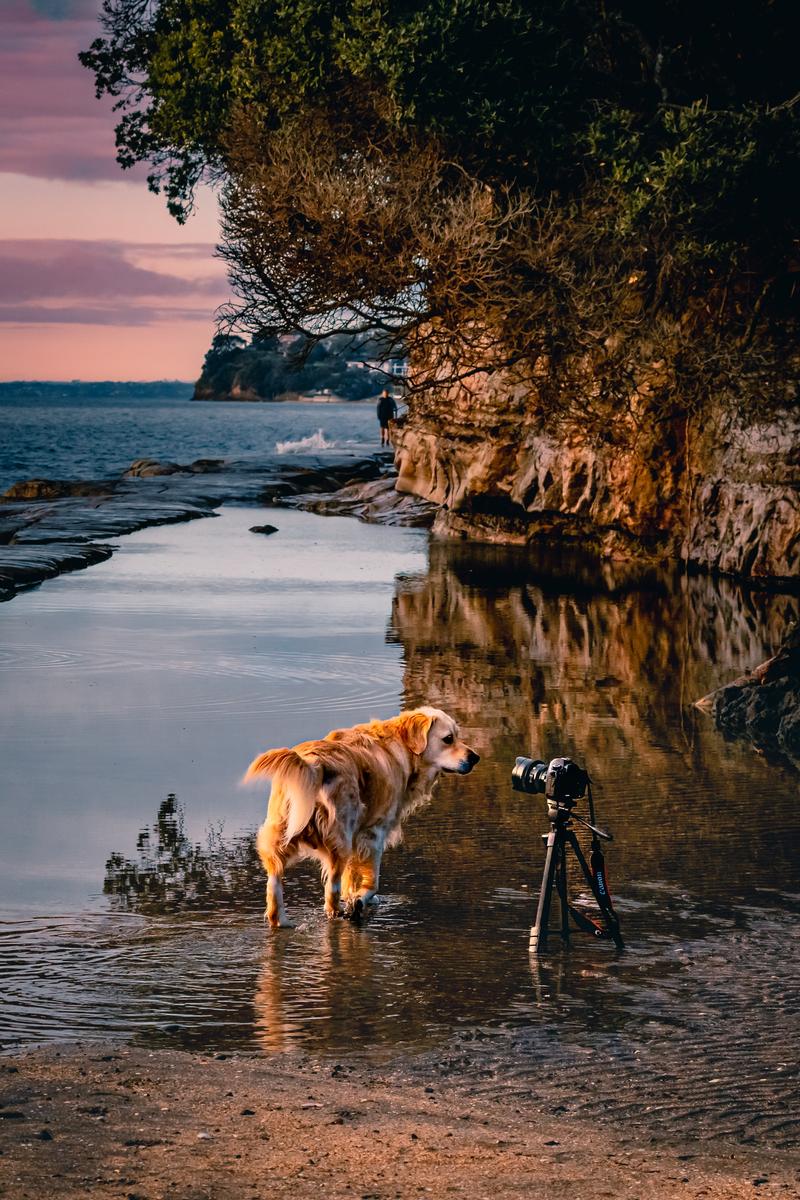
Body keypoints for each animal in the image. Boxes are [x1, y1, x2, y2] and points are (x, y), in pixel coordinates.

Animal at [244, 710, 479, 926]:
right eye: (448, 738)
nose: (475, 758)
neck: (401, 747)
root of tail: (313, 763)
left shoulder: (358, 836)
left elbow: (352, 876)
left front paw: (354, 896)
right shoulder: (374, 832)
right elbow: (372, 881)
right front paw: (361, 900)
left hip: (281, 834)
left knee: (274, 884)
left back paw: (282, 921)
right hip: (340, 840)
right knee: (331, 890)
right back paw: (338, 914)